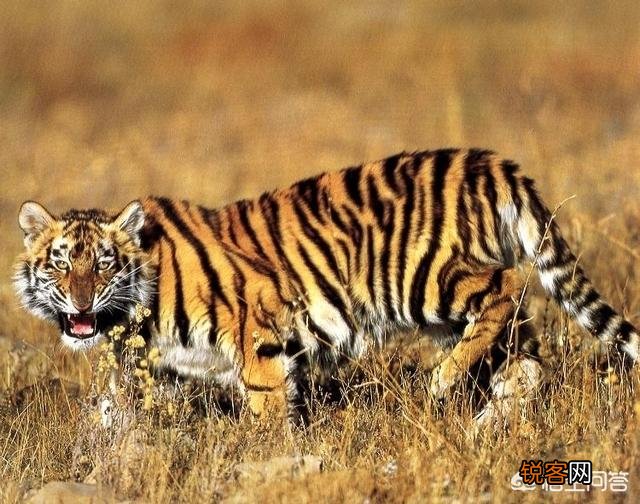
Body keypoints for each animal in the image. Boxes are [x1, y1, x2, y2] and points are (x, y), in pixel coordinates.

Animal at [13, 148, 639, 425]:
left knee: (507, 287)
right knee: (525, 347)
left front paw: (269, 460)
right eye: (61, 263)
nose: (81, 302)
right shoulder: (156, 371)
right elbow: (118, 415)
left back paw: (445, 381)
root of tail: (488, 161)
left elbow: (267, 405)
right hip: (452, 307)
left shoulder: (258, 327)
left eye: (104, 264)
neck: (130, 318)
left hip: (422, 276)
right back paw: (496, 415)